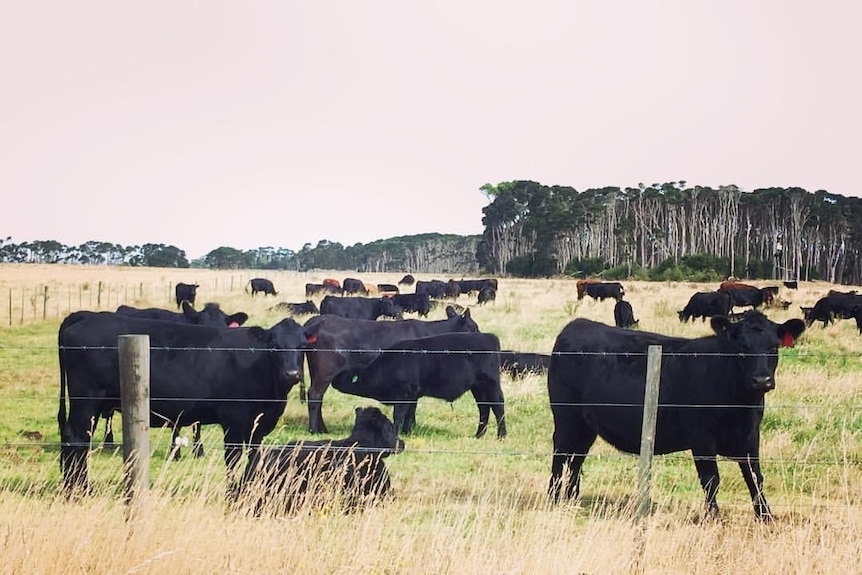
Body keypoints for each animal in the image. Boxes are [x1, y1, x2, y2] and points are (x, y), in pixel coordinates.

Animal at [60, 312, 318, 498]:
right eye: (274, 345)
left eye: (303, 346)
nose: (292, 374)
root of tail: (85, 317)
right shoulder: (234, 419)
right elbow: (233, 458)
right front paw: (232, 493)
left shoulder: (259, 423)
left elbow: (255, 456)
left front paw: (249, 488)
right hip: (86, 401)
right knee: (77, 438)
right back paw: (78, 489)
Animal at [302, 306, 480, 432]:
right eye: (473, 327)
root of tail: (316, 322)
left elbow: (411, 407)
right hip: (325, 372)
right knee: (315, 395)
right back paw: (314, 430)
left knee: (318, 397)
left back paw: (323, 429)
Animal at [330, 330, 506, 438]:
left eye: (343, 374)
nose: (333, 380)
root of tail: (489, 336)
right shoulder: (412, 396)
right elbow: (409, 414)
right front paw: (407, 432)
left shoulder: (404, 393)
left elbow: (399, 415)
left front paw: (396, 432)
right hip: (478, 387)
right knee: (484, 408)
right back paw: (479, 435)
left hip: (491, 384)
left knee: (498, 407)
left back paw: (501, 435)